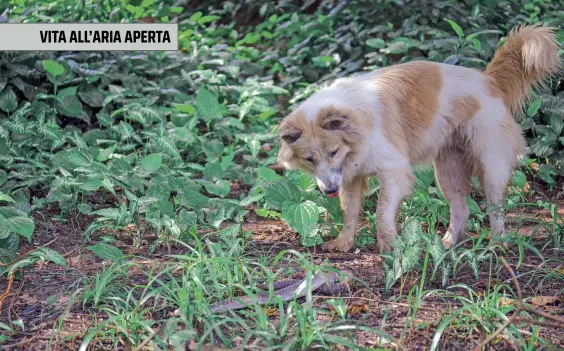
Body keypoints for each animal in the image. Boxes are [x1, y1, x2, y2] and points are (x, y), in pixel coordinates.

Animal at [276, 25, 560, 256]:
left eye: (333, 152)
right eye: (309, 160)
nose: (328, 191)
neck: (357, 125)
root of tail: (489, 80)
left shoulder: (394, 172)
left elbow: (381, 213)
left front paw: (390, 247)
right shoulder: (351, 178)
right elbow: (349, 213)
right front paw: (343, 243)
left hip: (490, 166)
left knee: (495, 209)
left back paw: (496, 245)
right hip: (447, 172)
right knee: (461, 209)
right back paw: (447, 245)